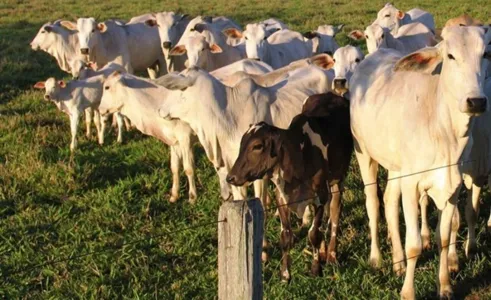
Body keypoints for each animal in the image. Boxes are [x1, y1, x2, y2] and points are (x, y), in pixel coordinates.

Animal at [98, 72, 198, 204]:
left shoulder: (186, 139)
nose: (100, 109)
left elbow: (189, 169)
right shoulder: (174, 142)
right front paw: (174, 195)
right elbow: (175, 168)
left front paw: (192, 198)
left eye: (107, 87)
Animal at [227, 91, 354, 282]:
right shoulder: (282, 198)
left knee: (335, 212)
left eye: (257, 146)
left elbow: (313, 234)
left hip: (338, 179)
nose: (231, 177)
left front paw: (316, 269)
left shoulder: (320, 196)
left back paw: (331, 254)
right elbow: (286, 236)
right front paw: (285, 274)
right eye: (242, 144)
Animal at [352, 26, 490, 300]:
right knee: (373, 203)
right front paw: (408, 292)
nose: (476, 102)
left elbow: (444, 237)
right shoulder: (412, 184)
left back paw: (397, 261)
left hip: (396, 167)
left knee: (389, 201)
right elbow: (414, 245)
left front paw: (445, 286)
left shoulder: (452, 187)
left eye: (486, 54)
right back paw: (377, 258)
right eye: (450, 56)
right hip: (364, 154)